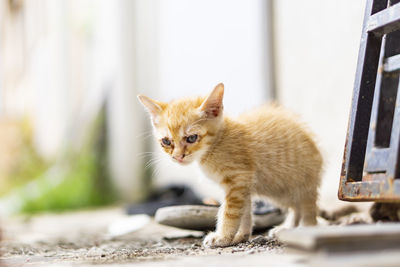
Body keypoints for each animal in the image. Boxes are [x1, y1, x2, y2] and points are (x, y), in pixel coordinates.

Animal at [138, 84, 322, 249]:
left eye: (191, 138)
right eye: (166, 141)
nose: (177, 157)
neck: (216, 143)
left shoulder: (238, 179)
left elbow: (229, 212)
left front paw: (223, 237)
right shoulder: (243, 186)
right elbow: (245, 211)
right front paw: (241, 236)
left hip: (296, 184)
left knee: (307, 208)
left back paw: (305, 229)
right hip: (279, 190)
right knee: (296, 206)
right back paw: (288, 227)